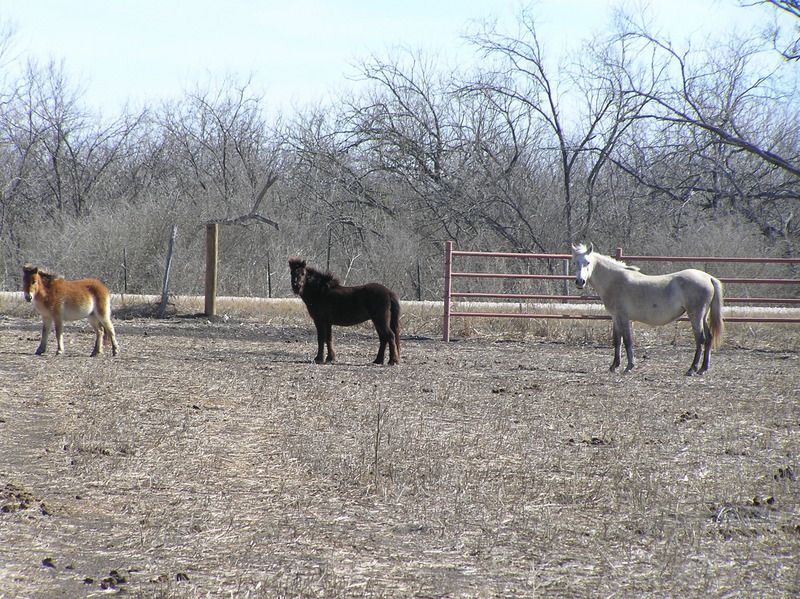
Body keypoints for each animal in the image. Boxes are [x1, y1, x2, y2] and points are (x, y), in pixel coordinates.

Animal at [568, 244, 724, 376]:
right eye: (574, 262)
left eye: (588, 262)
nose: (580, 282)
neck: (614, 281)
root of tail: (709, 278)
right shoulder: (615, 317)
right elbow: (617, 341)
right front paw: (614, 366)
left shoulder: (623, 317)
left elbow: (627, 340)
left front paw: (629, 366)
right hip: (703, 316)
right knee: (709, 338)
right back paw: (703, 369)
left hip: (695, 315)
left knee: (700, 339)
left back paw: (692, 369)